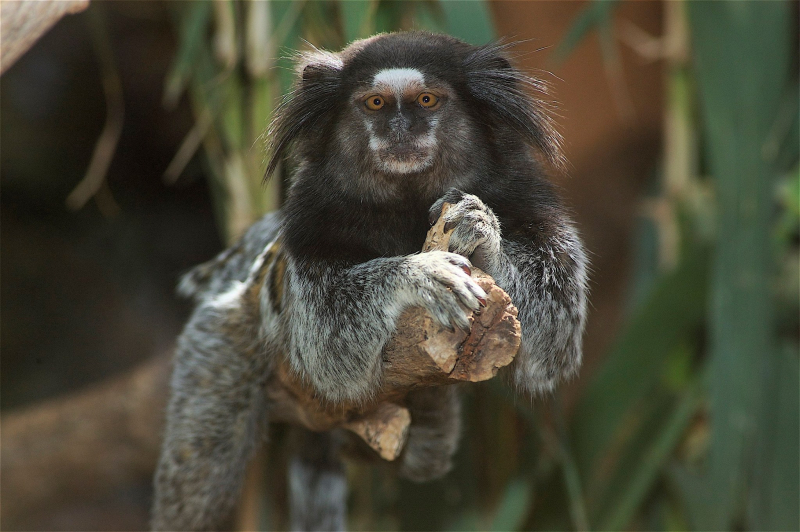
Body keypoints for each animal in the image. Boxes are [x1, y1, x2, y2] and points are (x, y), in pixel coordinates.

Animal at [152, 31, 587, 531]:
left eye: (426, 100)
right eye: (375, 103)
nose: (399, 128)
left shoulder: (526, 200)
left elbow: (554, 340)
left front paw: (481, 231)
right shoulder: (311, 227)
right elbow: (324, 346)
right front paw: (420, 274)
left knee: (425, 453)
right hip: (221, 338)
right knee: (199, 473)